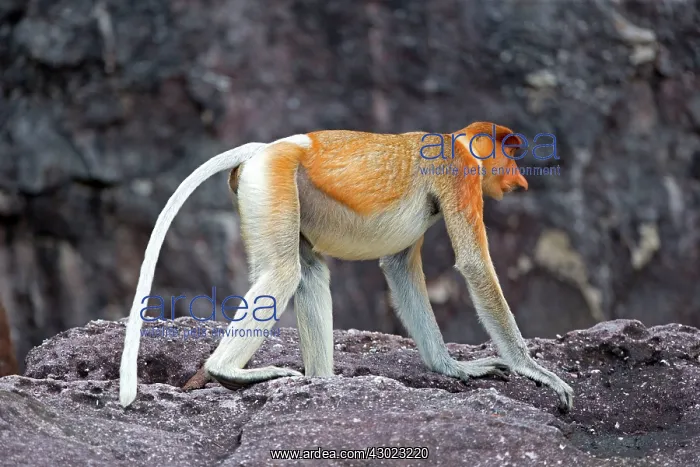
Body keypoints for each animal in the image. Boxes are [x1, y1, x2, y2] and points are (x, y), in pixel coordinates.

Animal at [119, 121, 574, 412]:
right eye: (509, 150)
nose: (520, 179)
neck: (457, 142)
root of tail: (267, 148)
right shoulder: (458, 174)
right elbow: (475, 265)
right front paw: (535, 371)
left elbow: (399, 267)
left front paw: (453, 367)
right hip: (273, 179)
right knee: (284, 272)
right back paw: (228, 371)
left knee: (309, 272)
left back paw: (322, 381)